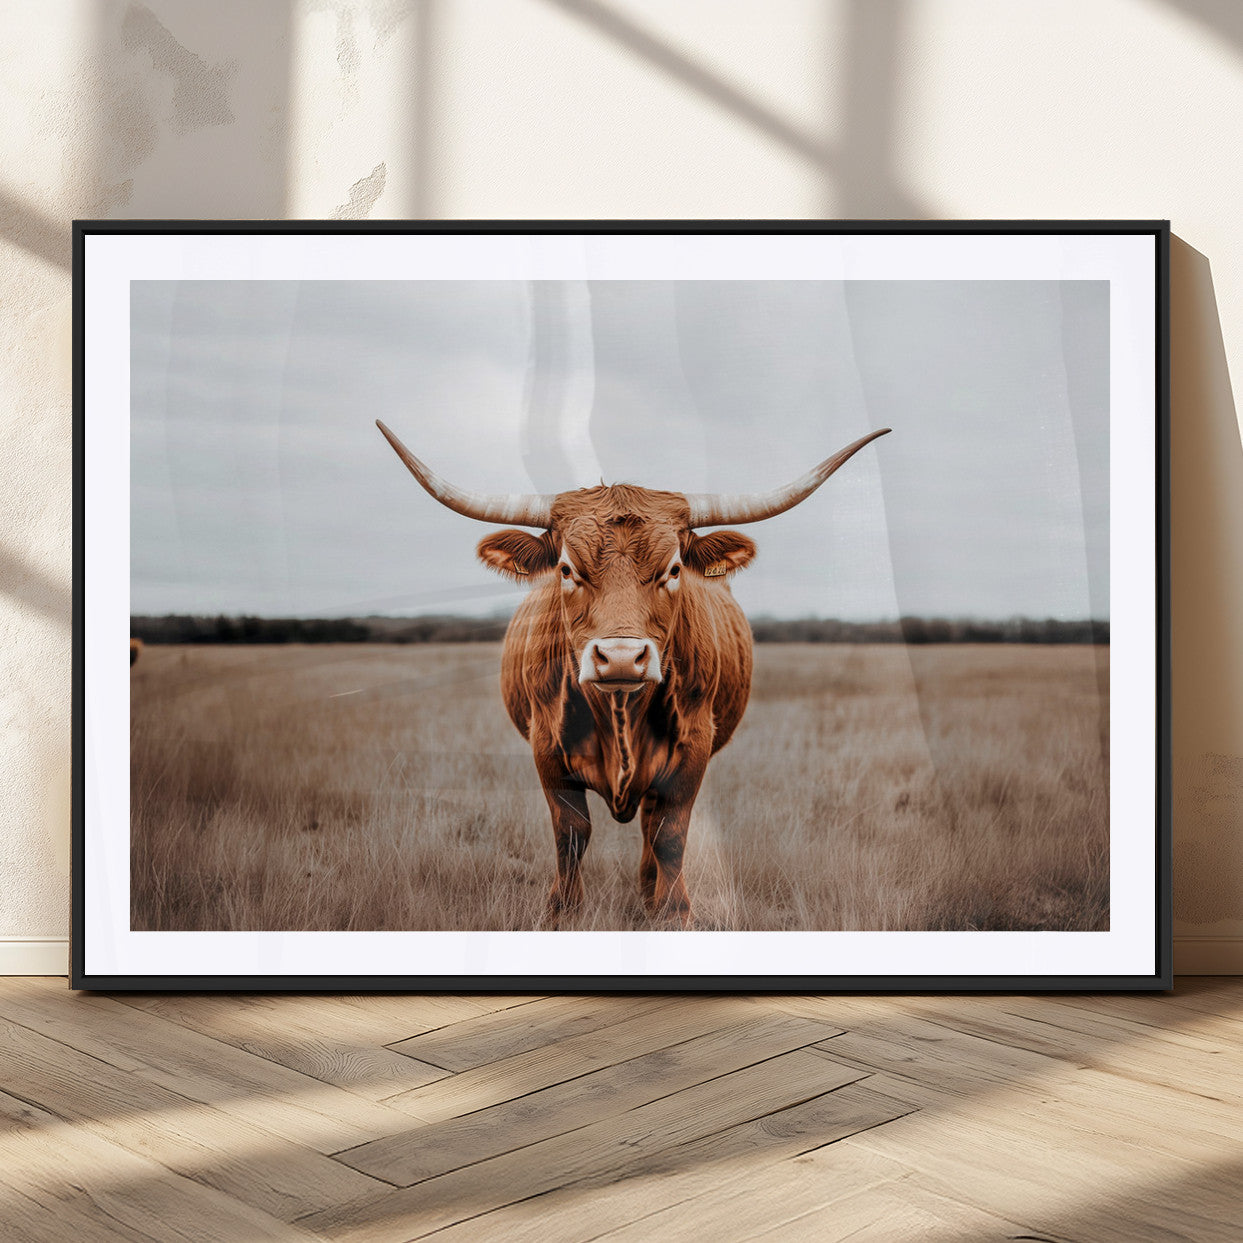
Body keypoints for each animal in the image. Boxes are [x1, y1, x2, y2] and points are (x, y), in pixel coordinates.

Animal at [377, 419, 889, 926]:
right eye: (566, 569)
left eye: (674, 569)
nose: (621, 657)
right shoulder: (546, 746)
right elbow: (572, 831)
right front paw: (563, 912)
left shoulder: (693, 747)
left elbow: (669, 833)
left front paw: (673, 911)